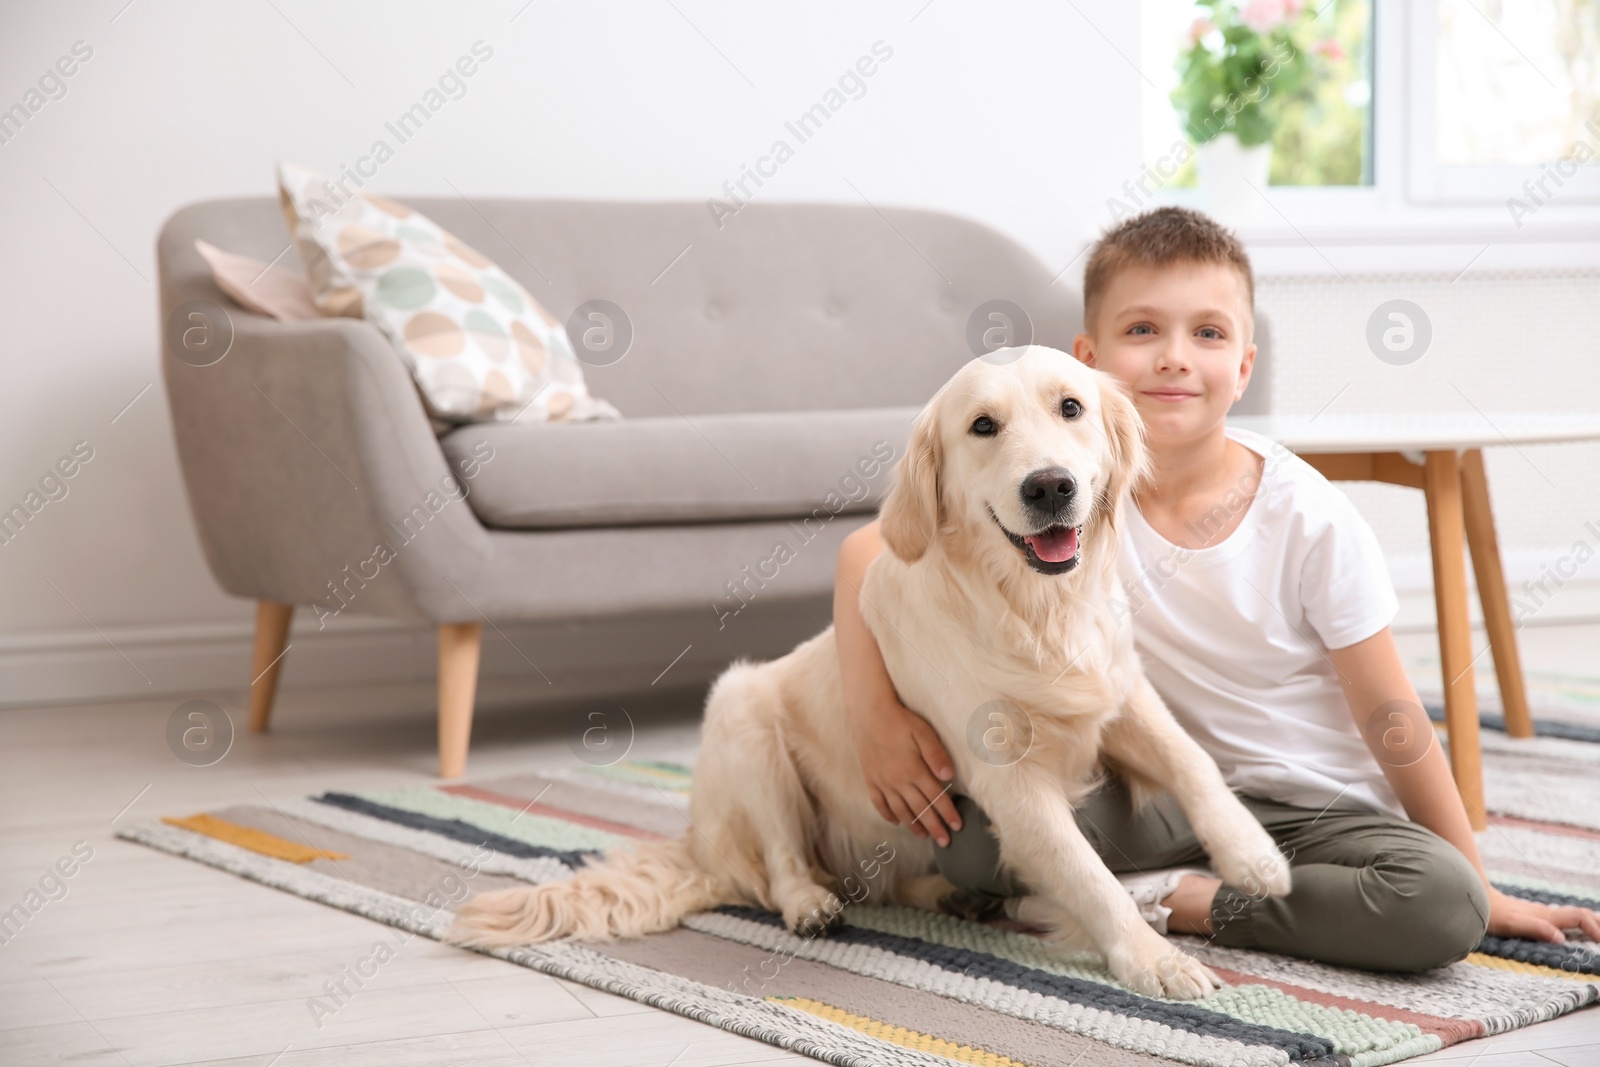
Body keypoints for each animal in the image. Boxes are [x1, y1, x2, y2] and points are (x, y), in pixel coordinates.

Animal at [444, 343, 1292, 1004]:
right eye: (983, 426)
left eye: (1073, 407)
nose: (1050, 485)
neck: (1032, 610)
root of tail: (698, 841)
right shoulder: (1012, 784)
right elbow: (1091, 875)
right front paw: (1156, 960)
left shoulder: (1119, 692)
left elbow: (1192, 759)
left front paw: (1252, 854)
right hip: (742, 714)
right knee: (779, 864)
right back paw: (812, 903)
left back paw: (949, 891)